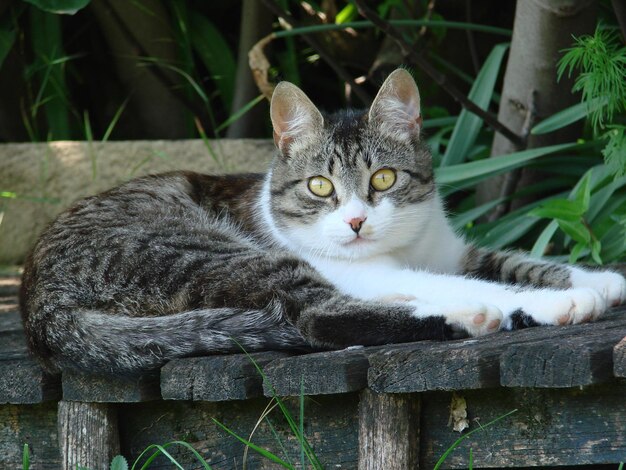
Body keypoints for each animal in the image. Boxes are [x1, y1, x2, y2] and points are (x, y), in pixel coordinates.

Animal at [19, 68, 624, 374]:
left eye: (384, 178)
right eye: (320, 187)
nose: (356, 222)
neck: (402, 248)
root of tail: (38, 311)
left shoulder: (451, 250)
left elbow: (515, 261)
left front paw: (599, 279)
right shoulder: (371, 270)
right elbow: (476, 281)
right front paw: (563, 301)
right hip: (207, 250)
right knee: (316, 316)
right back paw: (465, 316)